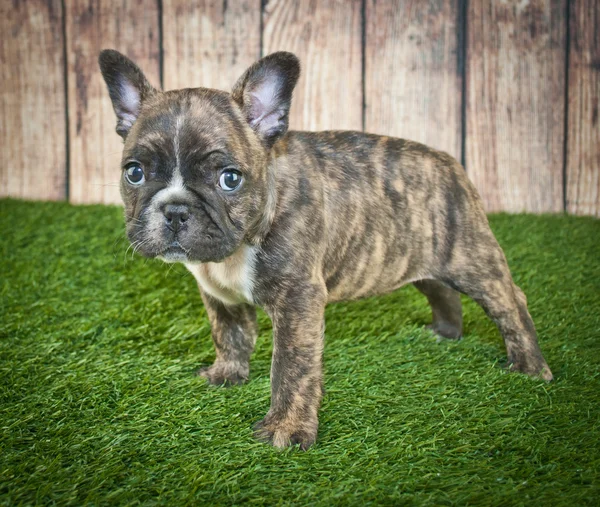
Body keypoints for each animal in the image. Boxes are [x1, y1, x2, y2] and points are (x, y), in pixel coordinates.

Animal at [98, 49, 552, 450]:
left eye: (229, 178)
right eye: (134, 173)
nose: (175, 210)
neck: (240, 244)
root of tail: (452, 163)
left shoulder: (299, 301)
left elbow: (292, 368)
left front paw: (286, 429)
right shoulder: (219, 295)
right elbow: (229, 335)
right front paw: (228, 374)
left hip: (472, 259)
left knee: (510, 301)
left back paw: (529, 367)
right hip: (418, 258)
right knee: (438, 288)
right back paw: (445, 333)